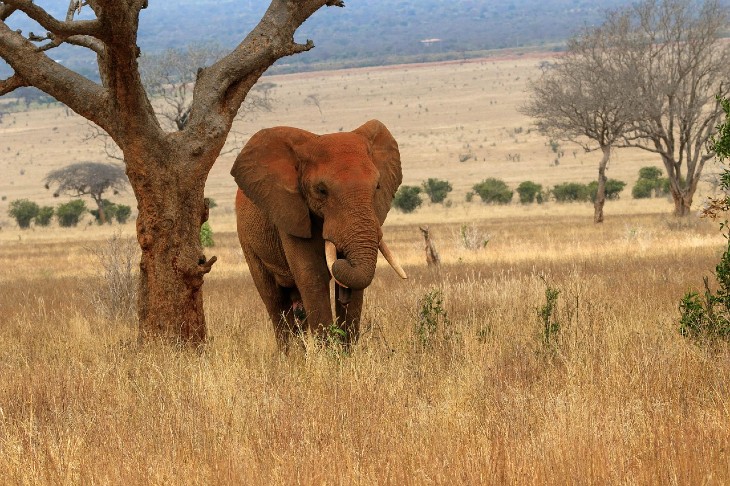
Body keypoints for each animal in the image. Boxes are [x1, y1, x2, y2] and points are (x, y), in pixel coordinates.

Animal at [231, 119, 407, 349]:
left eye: (377, 186)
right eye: (321, 190)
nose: (341, 258)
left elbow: (356, 285)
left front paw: (346, 352)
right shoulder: (290, 212)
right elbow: (313, 275)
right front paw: (329, 354)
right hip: (247, 240)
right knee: (274, 300)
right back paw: (290, 355)